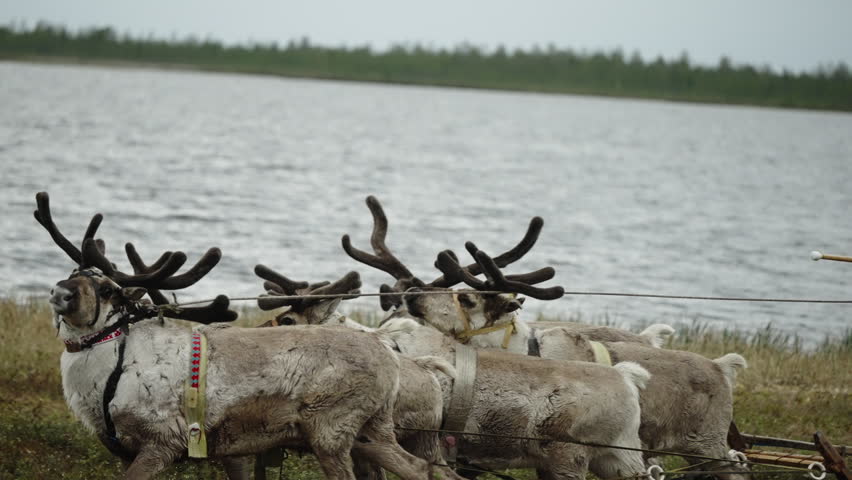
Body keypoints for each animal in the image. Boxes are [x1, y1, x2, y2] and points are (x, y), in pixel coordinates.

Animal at [35, 192, 432, 480]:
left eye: (106, 289)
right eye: (71, 272)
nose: (59, 292)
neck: (110, 373)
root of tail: (387, 353)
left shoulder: (163, 442)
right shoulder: (130, 447)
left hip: (330, 431)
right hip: (371, 432)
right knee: (421, 468)